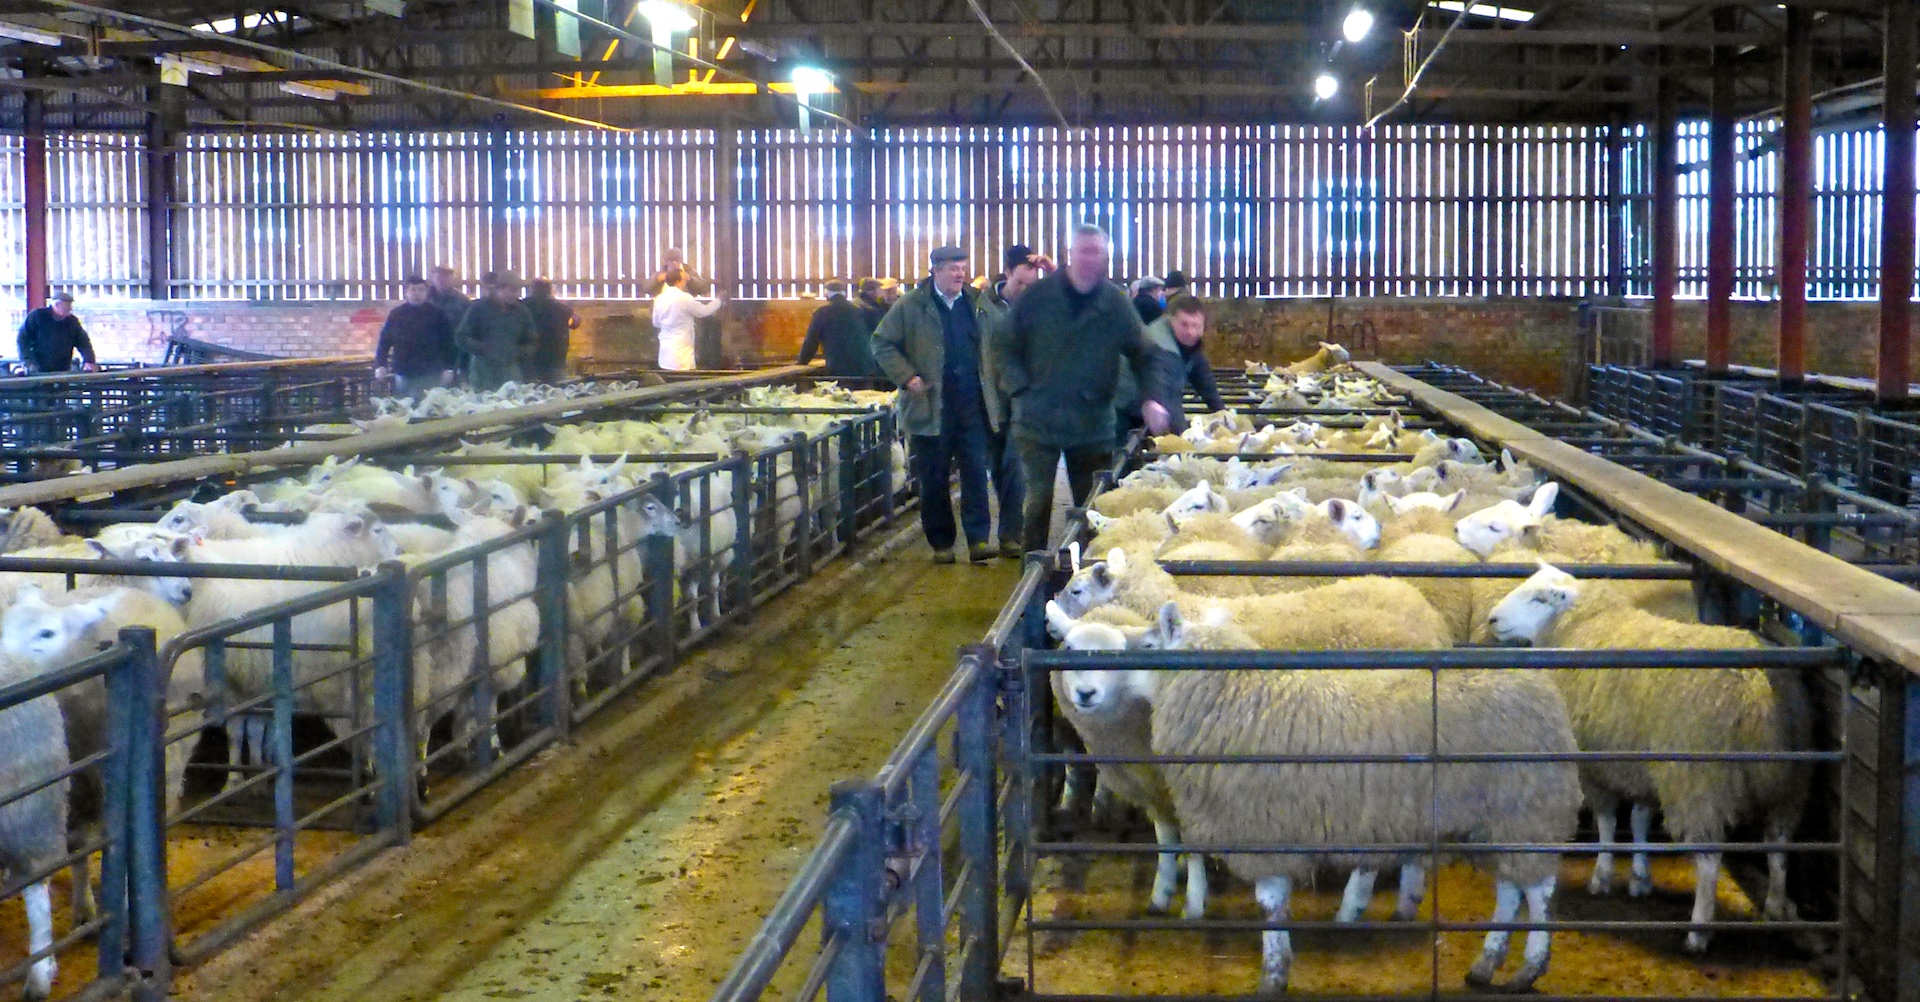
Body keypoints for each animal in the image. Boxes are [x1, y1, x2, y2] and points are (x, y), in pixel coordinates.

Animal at [1482, 564, 1812, 948]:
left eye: (1539, 598)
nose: (1492, 619)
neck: (1586, 624)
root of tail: (1757, 689)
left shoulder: (1595, 766)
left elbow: (1608, 821)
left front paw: (1602, 875)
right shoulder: (1639, 765)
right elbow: (1639, 819)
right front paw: (1640, 877)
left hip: (1699, 783)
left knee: (1709, 860)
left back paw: (1698, 930)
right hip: (1788, 785)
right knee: (1779, 847)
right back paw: (1776, 907)